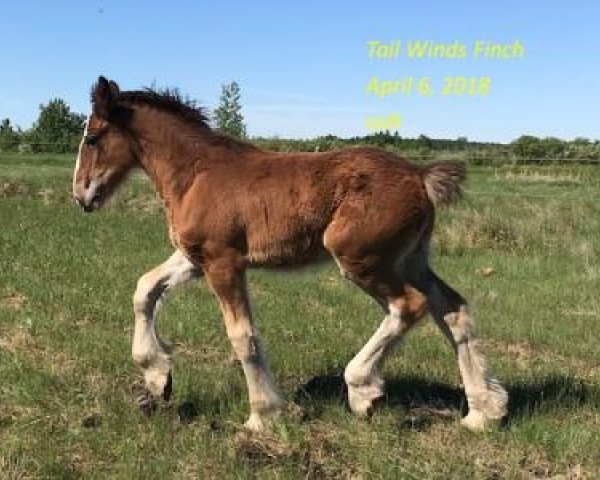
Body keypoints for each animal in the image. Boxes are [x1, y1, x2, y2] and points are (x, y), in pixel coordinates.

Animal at [72, 77, 508, 434]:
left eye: (92, 137)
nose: (81, 195)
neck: (196, 174)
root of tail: (419, 176)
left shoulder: (223, 261)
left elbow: (242, 335)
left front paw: (263, 415)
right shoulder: (195, 258)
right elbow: (144, 289)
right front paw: (158, 376)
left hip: (361, 258)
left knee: (410, 305)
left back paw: (363, 389)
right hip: (410, 258)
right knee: (451, 308)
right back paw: (483, 412)